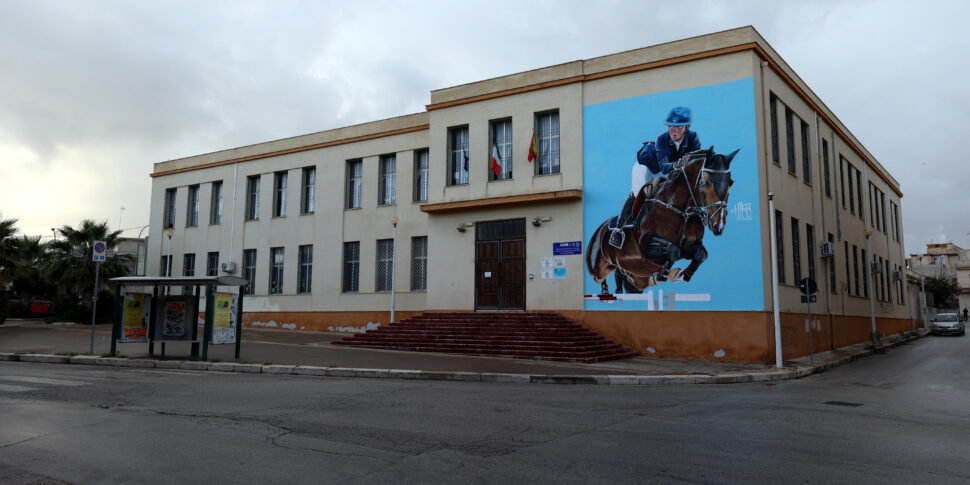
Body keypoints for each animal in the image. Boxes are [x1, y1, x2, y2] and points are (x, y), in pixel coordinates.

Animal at [588, 146, 736, 294]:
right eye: (707, 183)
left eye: (730, 183)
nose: (719, 225)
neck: (680, 210)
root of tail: (599, 229)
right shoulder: (643, 249)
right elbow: (674, 250)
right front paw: (669, 273)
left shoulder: (692, 244)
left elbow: (701, 254)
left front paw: (680, 275)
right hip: (598, 268)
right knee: (602, 278)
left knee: (624, 278)